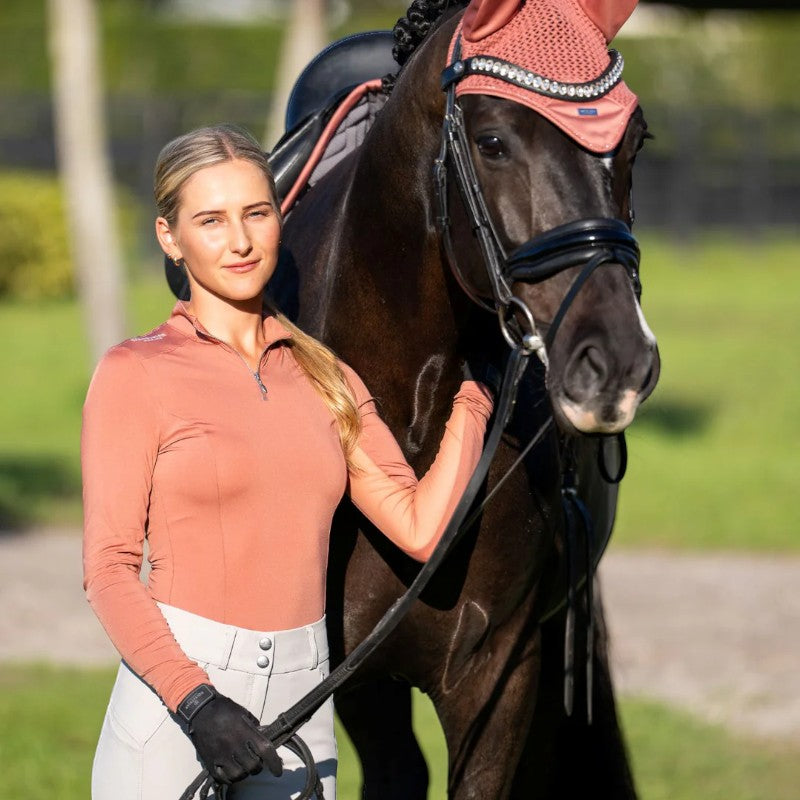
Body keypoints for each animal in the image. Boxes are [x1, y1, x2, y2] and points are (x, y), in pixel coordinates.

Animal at [226, 0, 660, 796]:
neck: (414, 418)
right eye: (492, 142)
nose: (616, 359)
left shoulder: (500, 674)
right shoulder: (349, 678)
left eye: (635, 142)